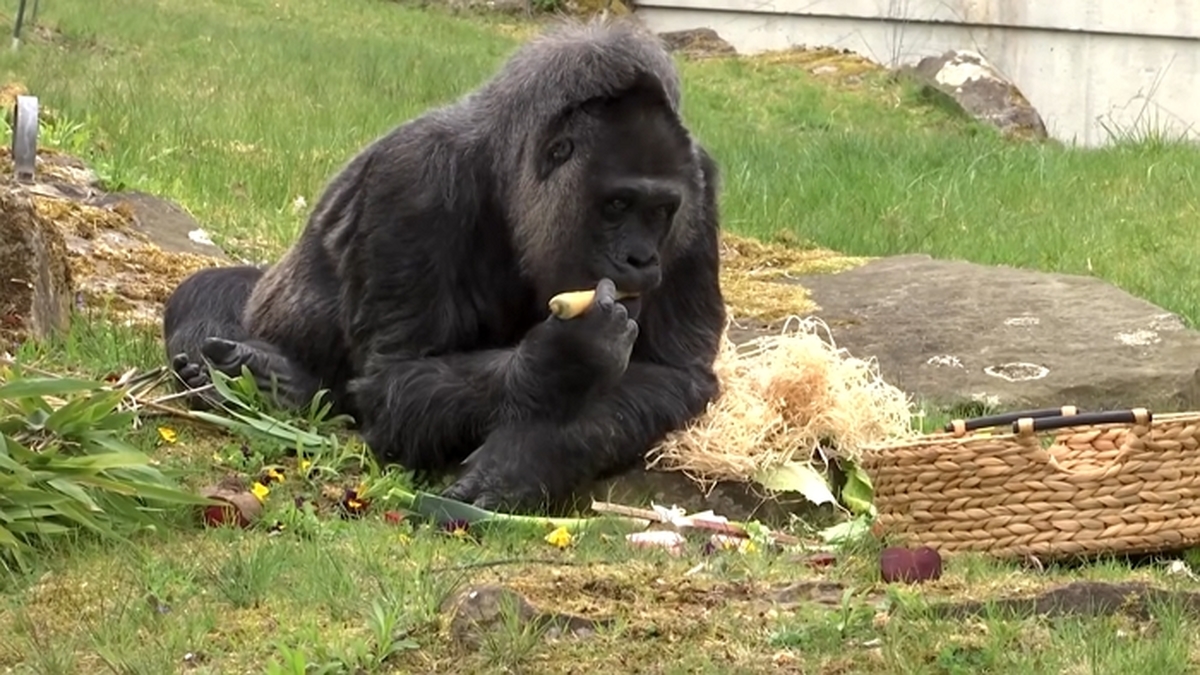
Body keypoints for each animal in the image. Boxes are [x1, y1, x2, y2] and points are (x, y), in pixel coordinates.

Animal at [161, 16, 727, 511]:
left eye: (661, 211)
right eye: (616, 205)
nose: (640, 258)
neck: (507, 172)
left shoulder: (701, 189)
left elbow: (674, 373)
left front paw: (528, 459)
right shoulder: (415, 179)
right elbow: (395, 375)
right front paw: (567, 357)